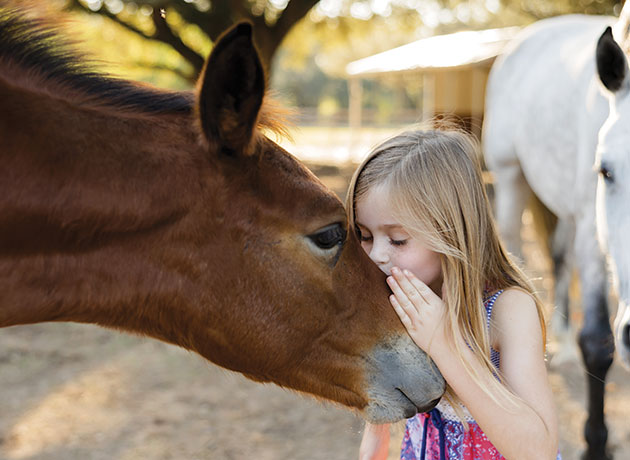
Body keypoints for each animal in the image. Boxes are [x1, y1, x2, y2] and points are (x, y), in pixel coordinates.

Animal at [483, 9, 630, 459]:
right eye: (606, 171)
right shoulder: (593, 233)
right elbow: (598, 344)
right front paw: (596, 445)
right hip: (511, 180)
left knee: (559, 257)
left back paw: (561, 339)